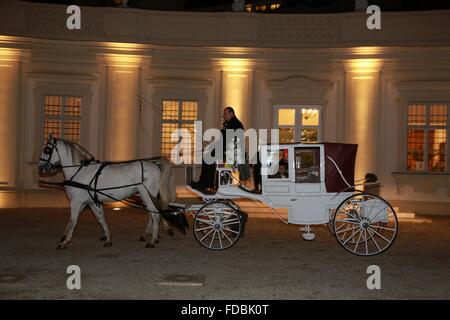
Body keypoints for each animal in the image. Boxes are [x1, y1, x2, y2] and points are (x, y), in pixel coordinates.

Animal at [37, 135, 181, 250]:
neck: (79, 170)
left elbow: (73, 221)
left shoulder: (76, 202)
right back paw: (151, 236)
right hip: (144, 196)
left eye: (47, 150)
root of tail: (156, 165)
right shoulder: (89, 202)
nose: (40, 167)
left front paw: (64, 242)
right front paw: (107, 239)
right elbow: (100, 219)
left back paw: (152, 241)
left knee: (155, 215)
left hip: (147, 195)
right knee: (152, 214)